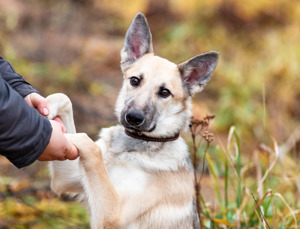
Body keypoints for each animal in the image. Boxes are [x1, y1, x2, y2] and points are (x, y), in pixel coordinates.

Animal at [45, 12, 218, 229]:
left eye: (164, 92)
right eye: (135, 80)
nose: (134, 118)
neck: (133, 144)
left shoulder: (112, 212)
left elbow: (89, 145)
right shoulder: (68, 179)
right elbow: (64, 98)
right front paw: (45, 109)